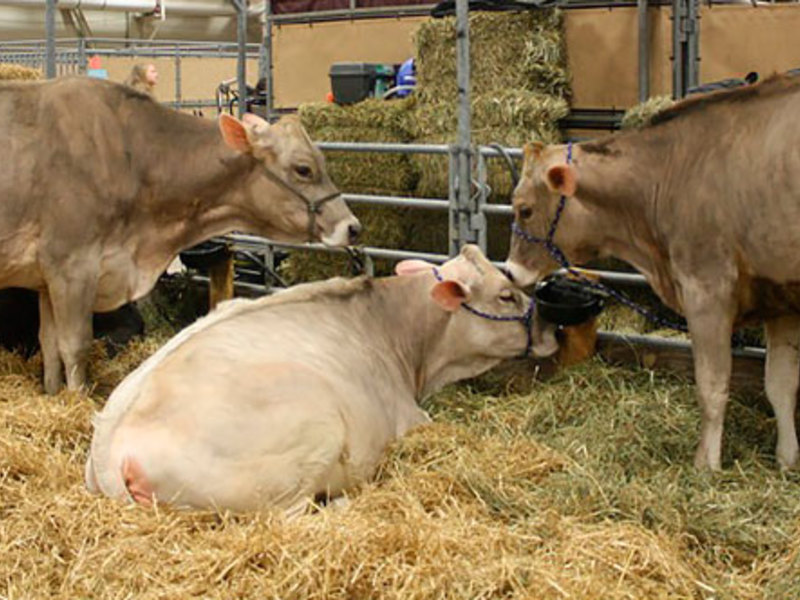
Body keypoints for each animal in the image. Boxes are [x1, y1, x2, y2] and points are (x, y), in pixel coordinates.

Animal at [0, 76, 360, 394]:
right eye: (303, 169)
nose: (352, 226)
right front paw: (75, 402)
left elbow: (49, 345)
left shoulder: (46, 277)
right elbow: (74, 346)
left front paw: (52, 394)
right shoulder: (72, 264)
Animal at [505, 74, 800, 471]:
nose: (509, 271)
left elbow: (712, 385)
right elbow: (781, 385)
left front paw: (705, 466)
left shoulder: (706, 287)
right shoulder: (780, 298)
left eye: (524, 209)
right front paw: (788, 460)